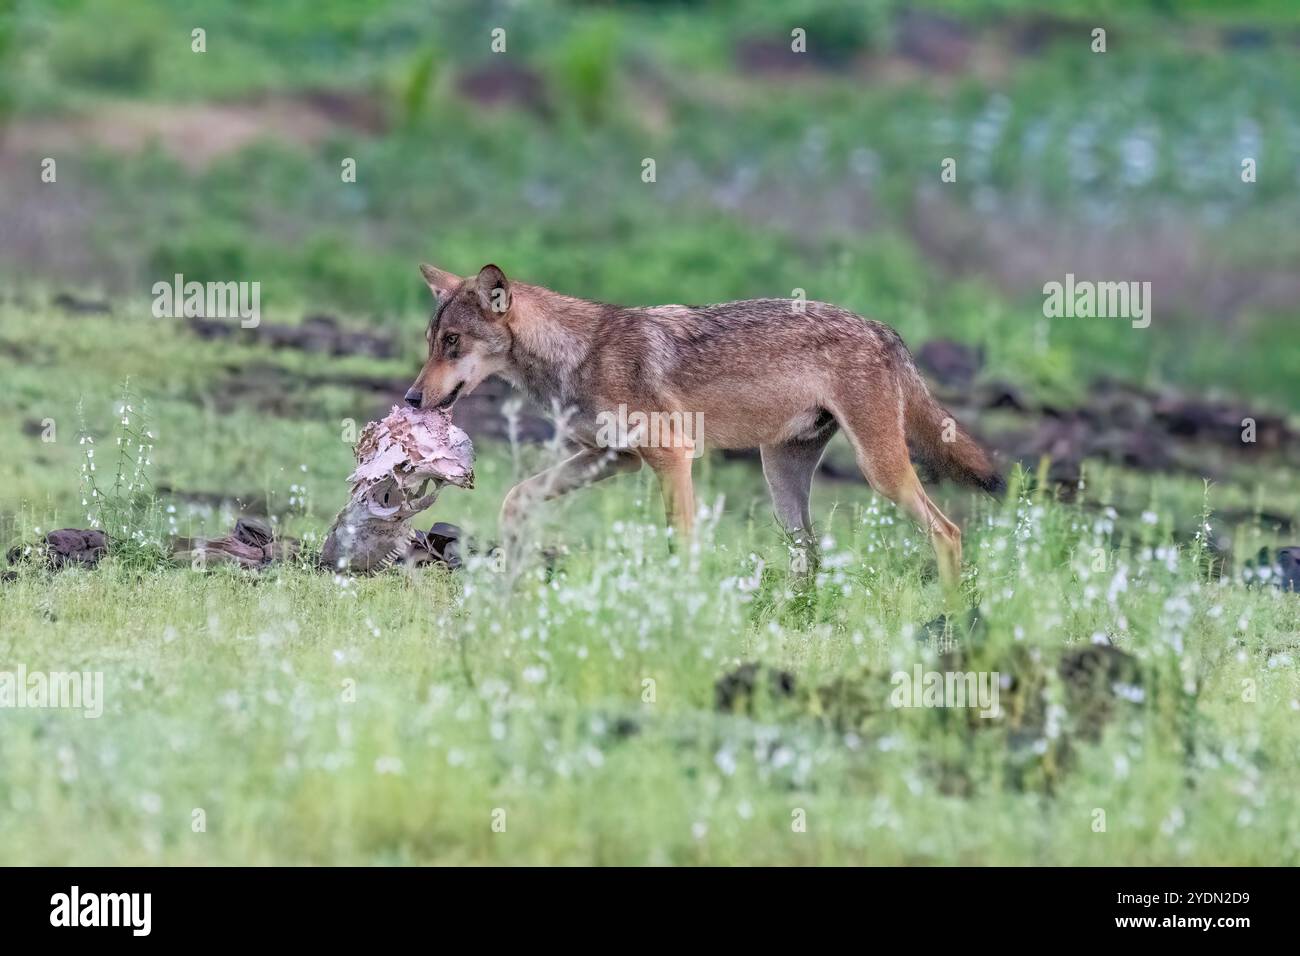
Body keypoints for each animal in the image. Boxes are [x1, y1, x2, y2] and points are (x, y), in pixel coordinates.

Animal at [400, 264, 998, 590]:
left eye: (452, 342)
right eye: (431, 342)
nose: (411, 398)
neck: (577, 354)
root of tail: (884, 329)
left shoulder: (672, 456)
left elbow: (681, 543)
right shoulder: (614, 458)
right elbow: (516, 498)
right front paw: (509, 569)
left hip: (879, 472)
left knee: (947, 531)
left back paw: (949, 611)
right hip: (781, 479)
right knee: (811, 554)